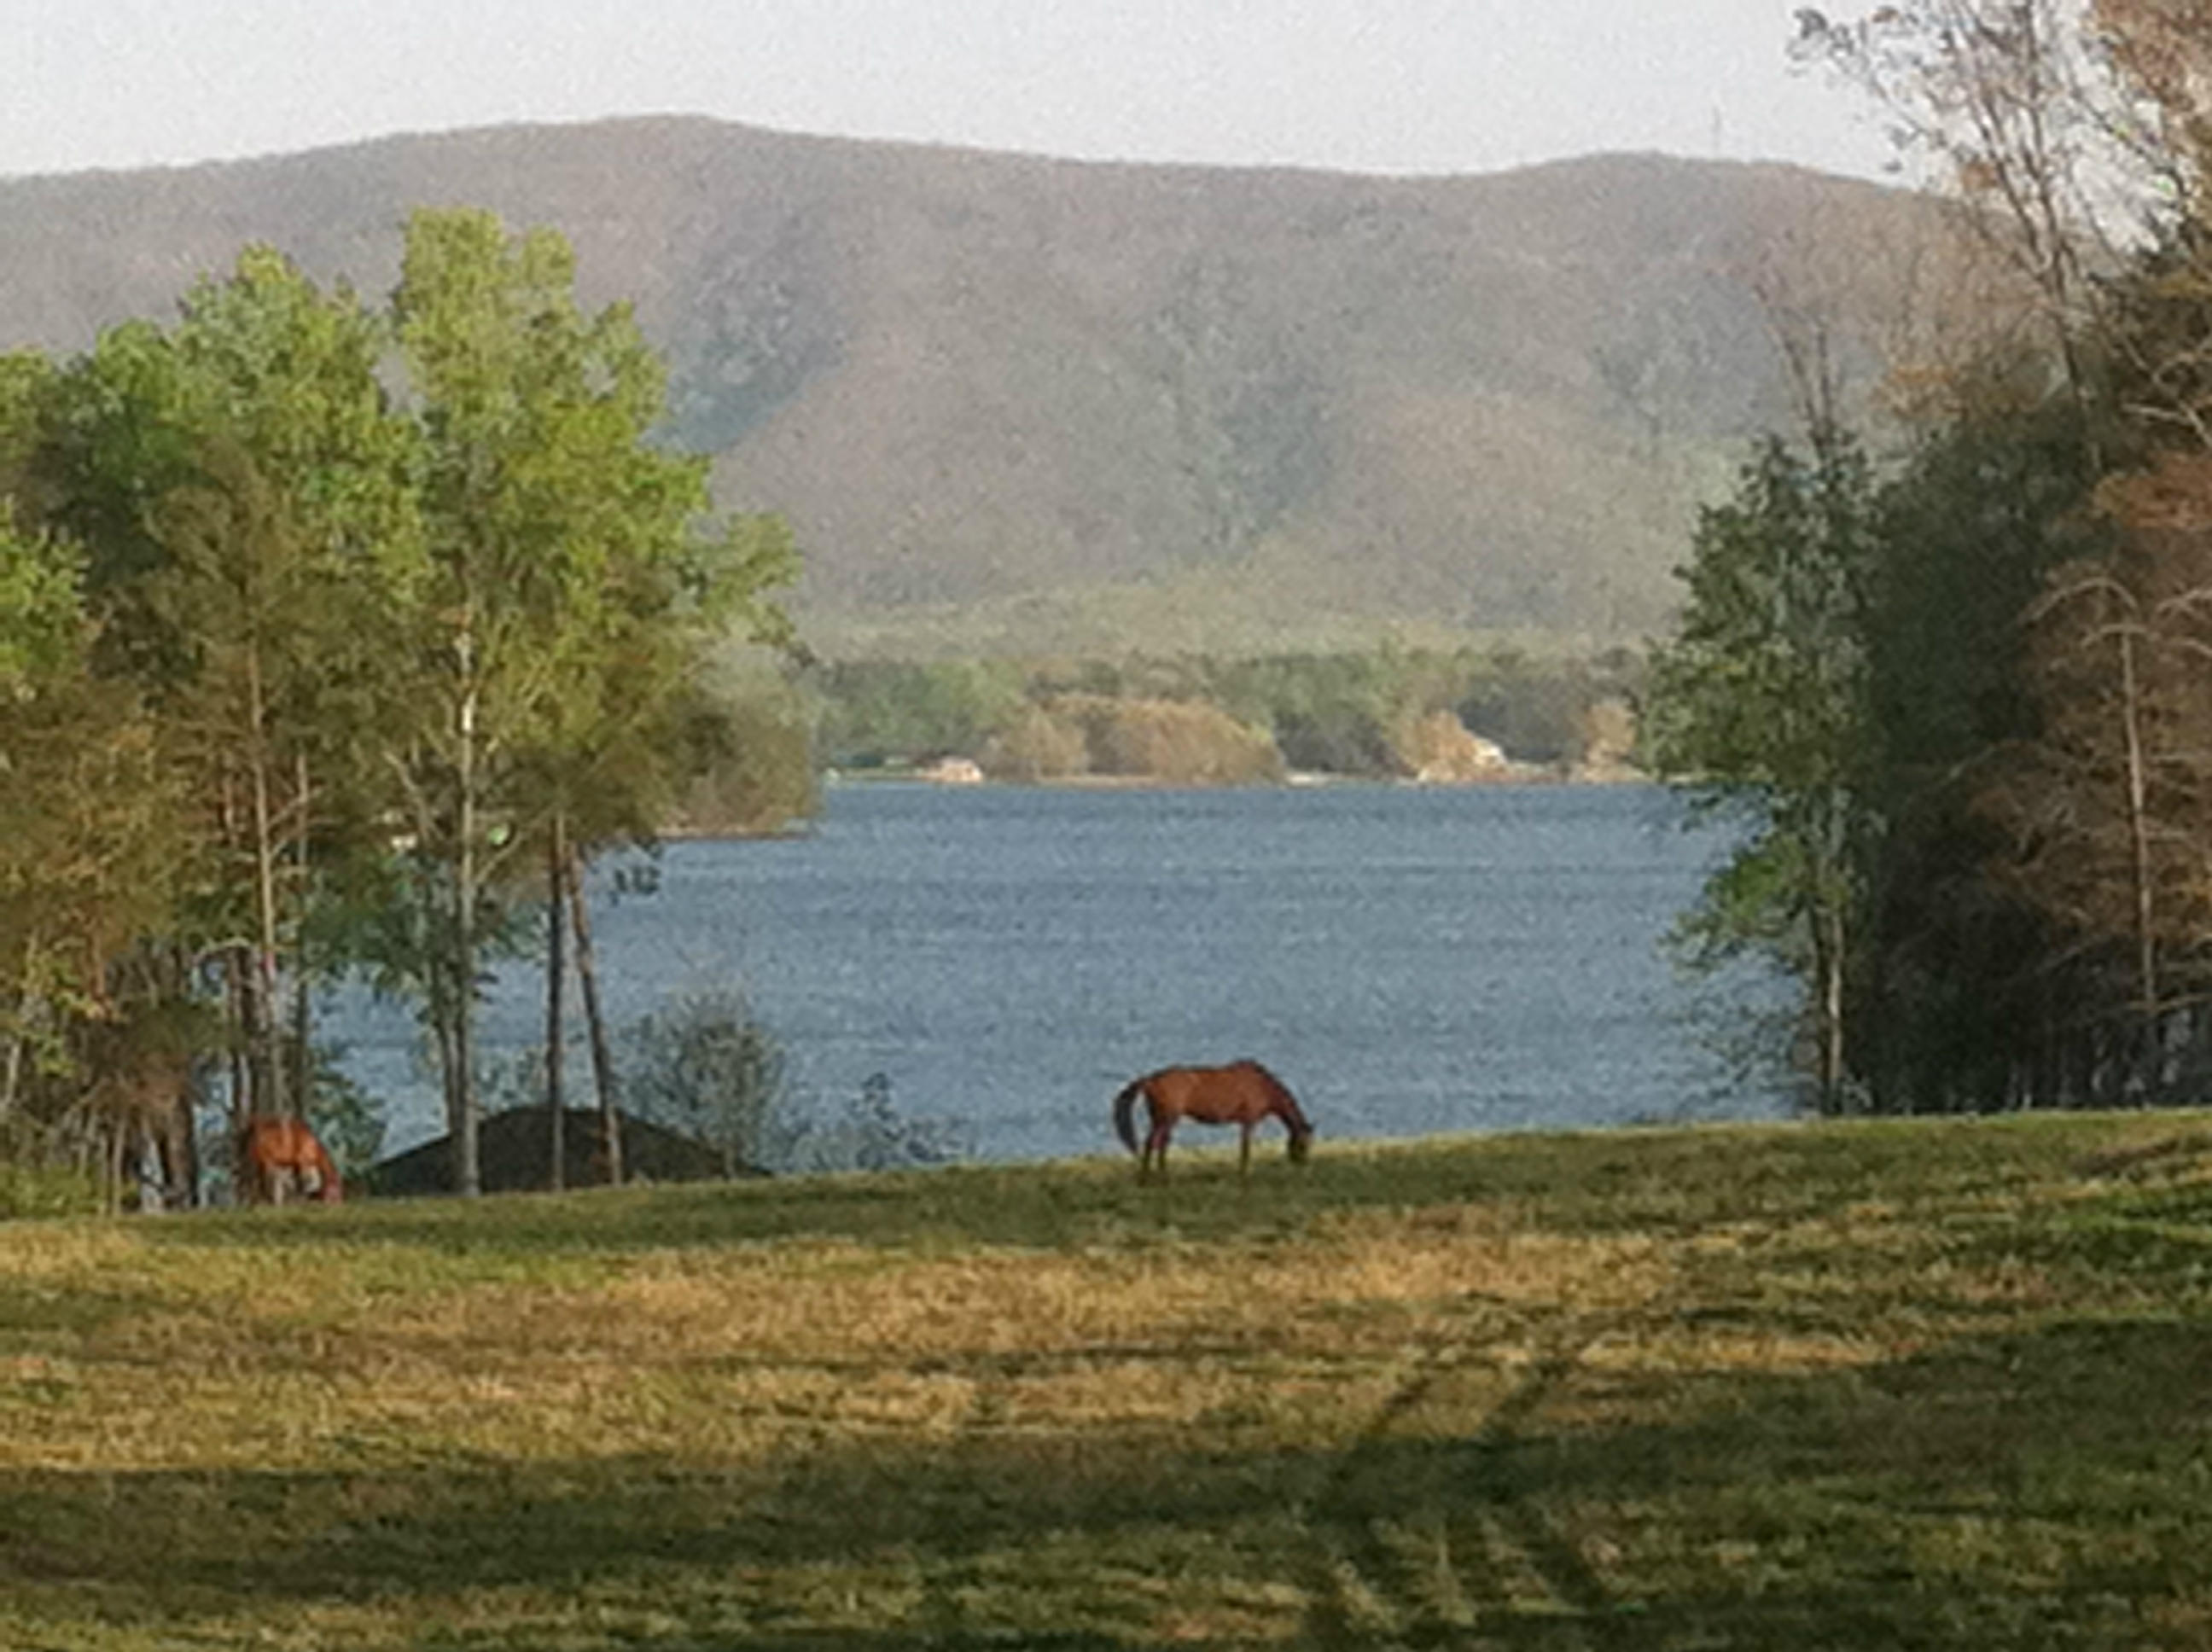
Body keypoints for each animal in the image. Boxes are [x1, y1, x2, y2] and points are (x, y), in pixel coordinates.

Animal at [1111, 1060, 1314, 1180]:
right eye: (1304, 1143)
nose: (1302, 1163)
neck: (1263, 1085)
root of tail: (1151, 1080)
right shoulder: (1249, 1121)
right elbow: (1246, 1147)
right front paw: (1244, 1172)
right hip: (1167, 1118)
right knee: (1157, 1143)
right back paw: (1160, 1176)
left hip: (1159, 1118)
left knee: (1154, 1143)